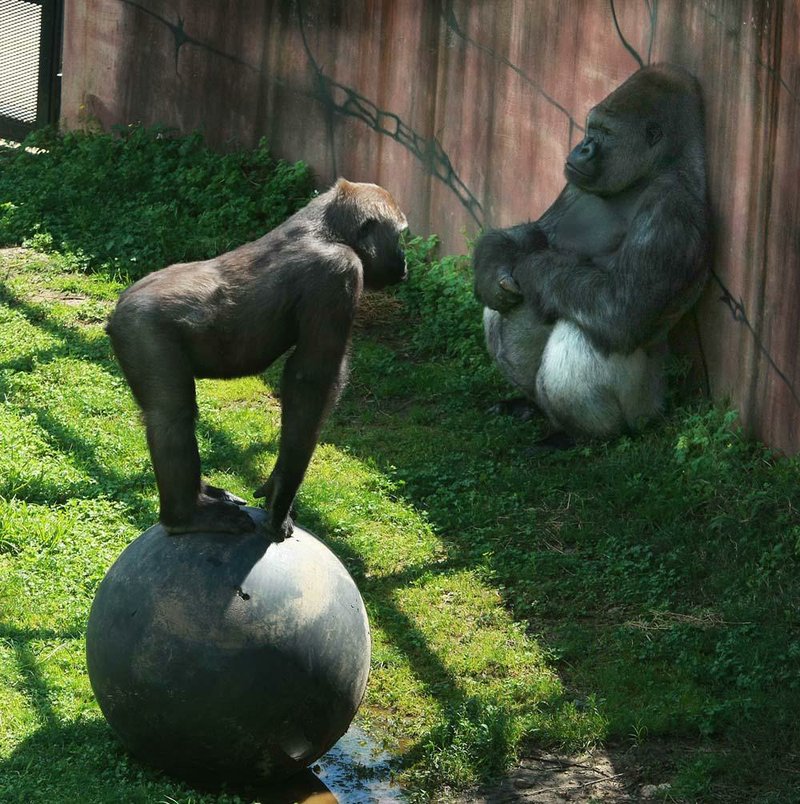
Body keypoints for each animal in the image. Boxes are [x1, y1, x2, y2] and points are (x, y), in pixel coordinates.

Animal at [106, 177, 406, 540]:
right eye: (400, 236)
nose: (405, 262)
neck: (330, 229)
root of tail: (117, 309)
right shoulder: (337, 273)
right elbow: (310, 382)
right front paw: (282, 496)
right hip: (141, 327)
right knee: (170, 416)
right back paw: (184, 516)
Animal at [472, 66, 708, 446]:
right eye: (591, 127)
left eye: (606, 133)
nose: (581, 147)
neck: (652, 171)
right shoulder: (574, 182)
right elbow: (532, 236)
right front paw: (490, 270)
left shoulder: (670, 210)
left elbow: (622, 305)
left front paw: (533, 267)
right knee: (503, 310)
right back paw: (531, 407)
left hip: (646, 410)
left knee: (583, 329)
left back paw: (581, 435)